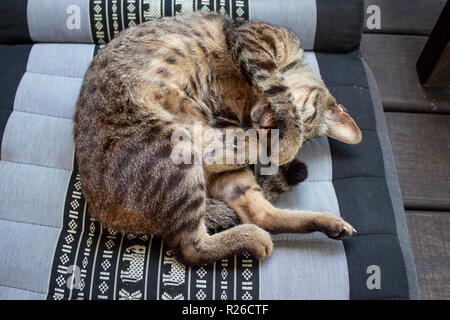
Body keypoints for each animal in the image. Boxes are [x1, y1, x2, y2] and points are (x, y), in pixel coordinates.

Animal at [74, 11, 362, 264]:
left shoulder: (227, 120)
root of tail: (100, 210)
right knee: (190, 248)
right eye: (303, 119)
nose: (263, 128)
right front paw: (286, 143)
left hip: (216, 175)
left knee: (259, 214)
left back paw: (328, 224)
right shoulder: (252, 40)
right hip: (172, 155)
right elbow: (279, 89)